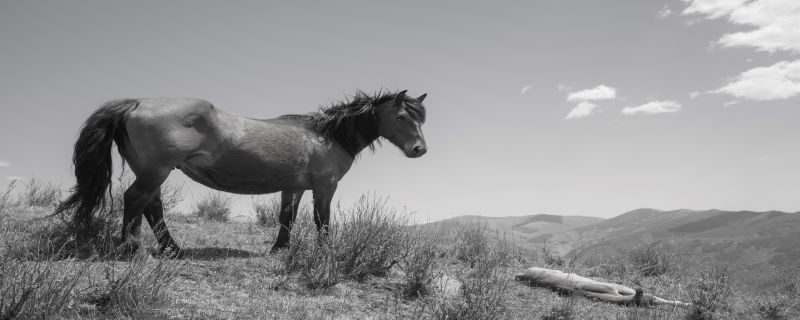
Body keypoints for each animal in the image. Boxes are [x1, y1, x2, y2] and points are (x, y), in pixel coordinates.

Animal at [54, 89, 432, 256]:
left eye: (420, 118)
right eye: (401, 116)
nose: (420, 150)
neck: (325, 134)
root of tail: (136, 103)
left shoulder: (293, 186)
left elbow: (286, 217)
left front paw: (279, 249)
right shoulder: (325, 186)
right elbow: (322, 220)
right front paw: (325, 253)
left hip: (150, 170)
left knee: (151, 205)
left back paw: (172, 249)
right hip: (156, 169)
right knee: (136, 201)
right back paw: (131, 248)